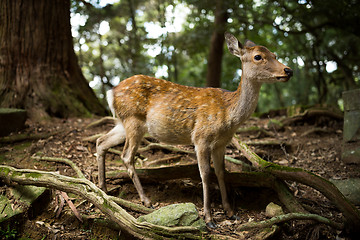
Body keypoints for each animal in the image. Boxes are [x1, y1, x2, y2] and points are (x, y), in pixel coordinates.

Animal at [95, 32, 292, 229]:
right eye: (258, 56)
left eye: (274, 54)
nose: (288, 70)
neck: (229, 115)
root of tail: (111, 92)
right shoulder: (201, 137)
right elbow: (205, 174)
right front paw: (209, 219)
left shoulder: (222, 143)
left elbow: (221, 172)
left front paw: (230, 212)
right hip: (133, 120)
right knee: (126, 156)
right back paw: (146, 200)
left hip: (122, 123)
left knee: (101, 141)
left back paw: (103, 189)